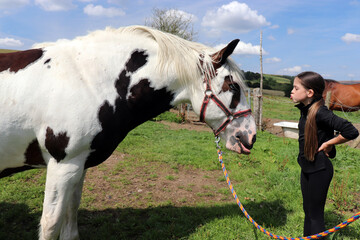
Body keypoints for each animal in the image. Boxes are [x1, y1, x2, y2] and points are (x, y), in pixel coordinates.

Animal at [1, 25, 258, 239]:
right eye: (233, 86)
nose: (250, 136)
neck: (87, 81)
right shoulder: (62, 166)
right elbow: (51, 224)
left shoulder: (77, 166)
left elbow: (70, 218)